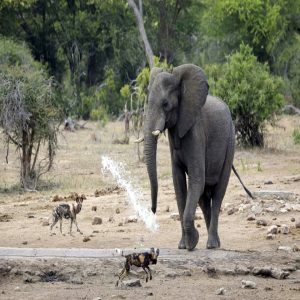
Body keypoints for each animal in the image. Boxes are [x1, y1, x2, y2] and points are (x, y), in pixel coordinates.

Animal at [139, 63, 252, 251]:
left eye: (165, 104)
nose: (153, 210)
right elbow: (179, 185)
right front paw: (183, 245)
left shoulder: (195, 132)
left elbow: (196, 179)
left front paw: (192, 242)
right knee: (204, 199)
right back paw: (214, 242)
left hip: (230, 142)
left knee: (218, 194)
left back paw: (212, 245)